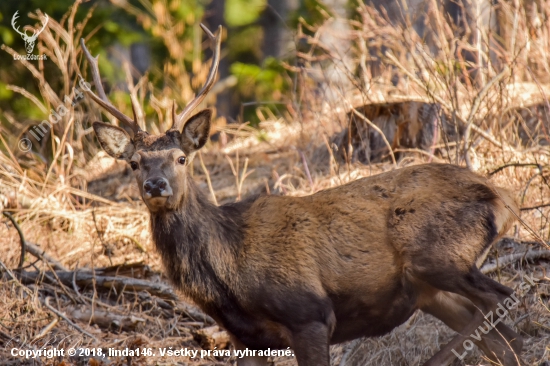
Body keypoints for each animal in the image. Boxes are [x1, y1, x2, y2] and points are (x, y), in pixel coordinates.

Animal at [82, 25, 528, 366]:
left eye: (181, 158)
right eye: (134, 162)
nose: (156, 186)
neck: (230, 272)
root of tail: (505, 197)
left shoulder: (310, 314)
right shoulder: (250, 339)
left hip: (438, 254)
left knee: (504, 303)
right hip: (431, 290)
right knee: (500, 337)